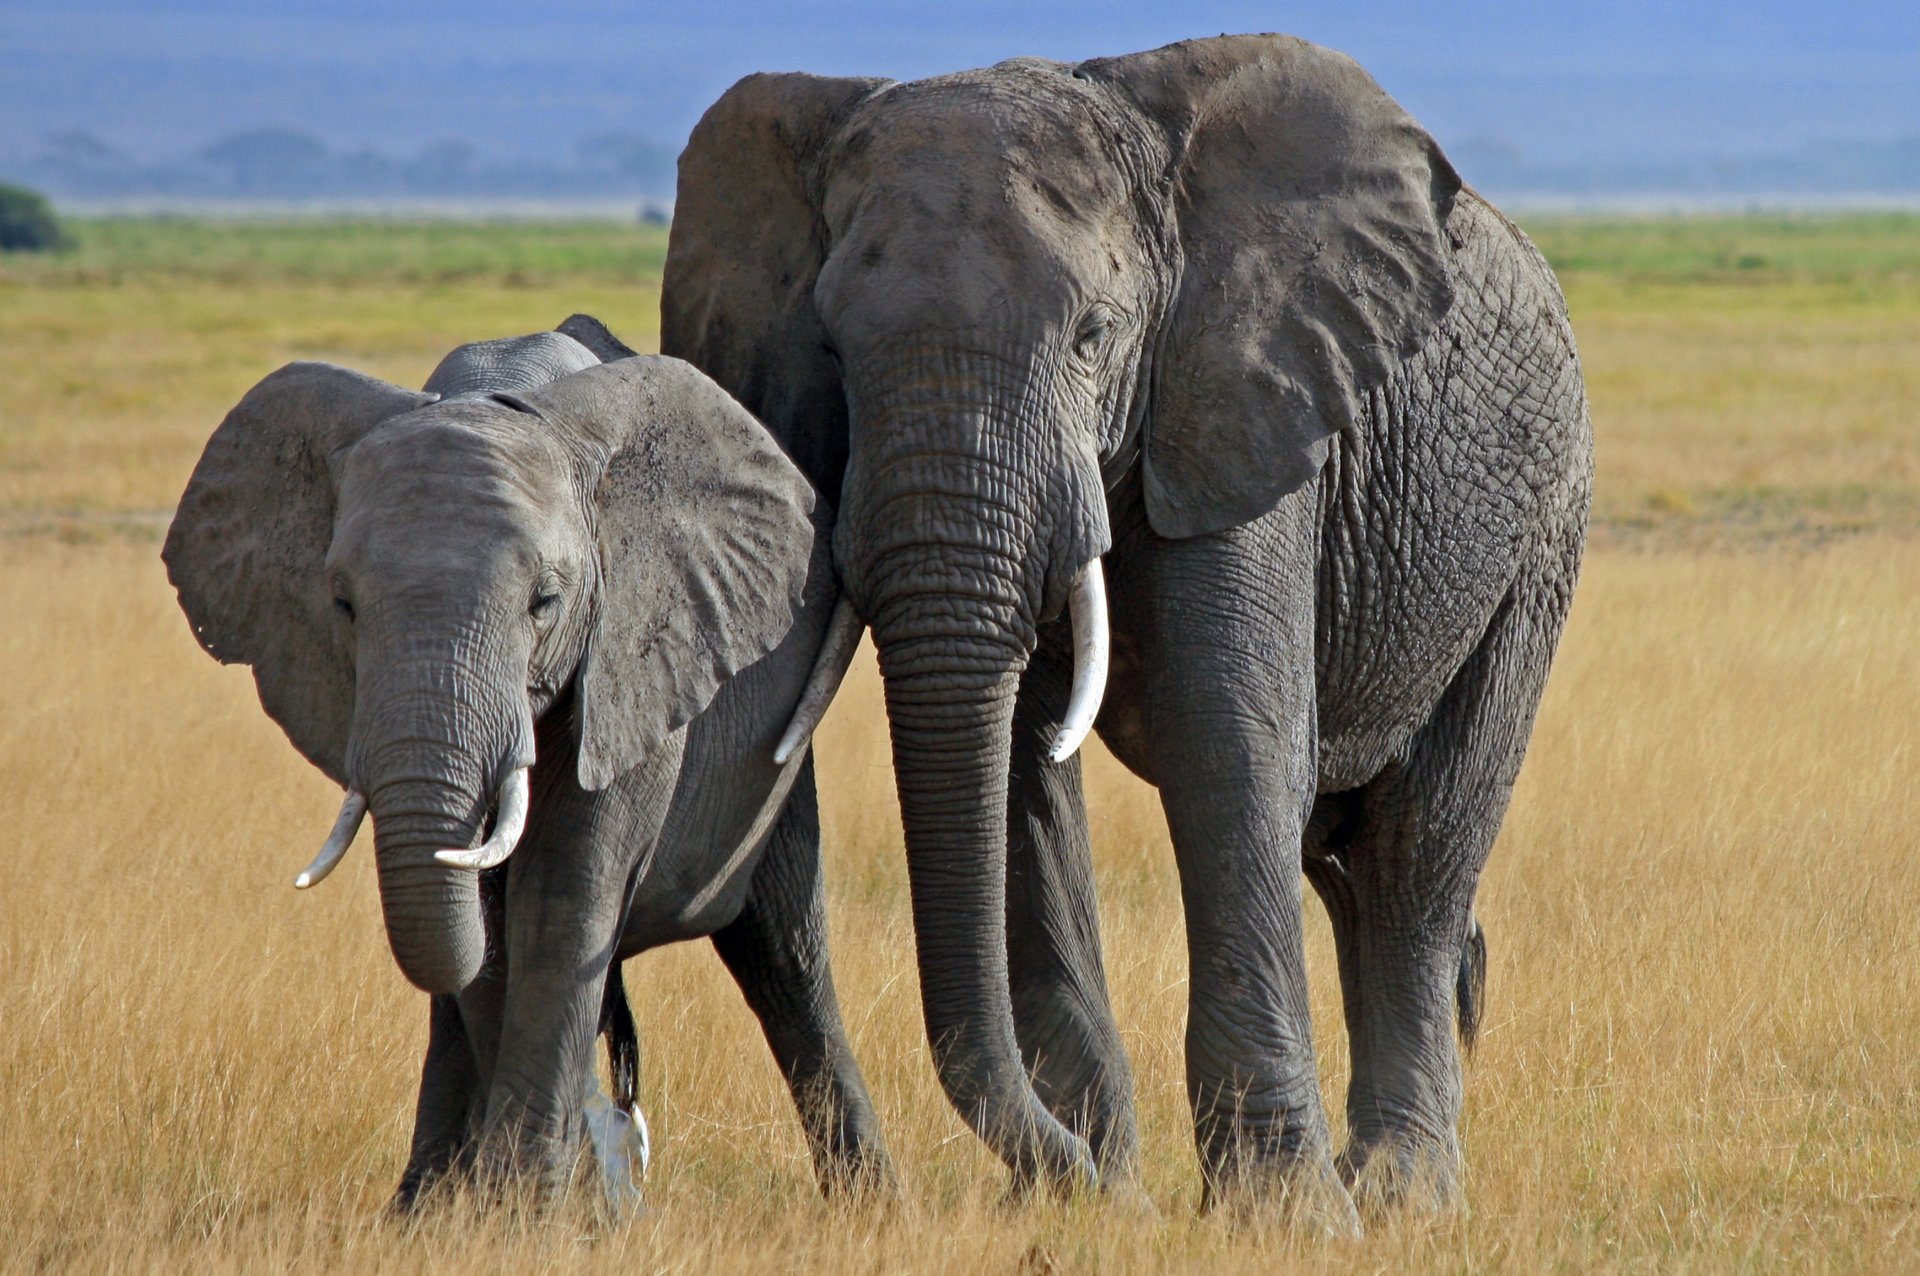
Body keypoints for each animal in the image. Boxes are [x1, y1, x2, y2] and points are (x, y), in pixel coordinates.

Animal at [162, 316, 893, 1206]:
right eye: (343, 604)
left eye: (546, 602)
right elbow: (485, 928)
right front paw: (512, 1207)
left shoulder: (637, 645)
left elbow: (562, 897)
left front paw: (532, 1212)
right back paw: (424, 1206)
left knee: (781, 950)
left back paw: (871, 1206)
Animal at [660, 33, 1592, 1220]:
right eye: (827, 348)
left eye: (1094, 337)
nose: (1073, 1170)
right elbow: (1018, 771)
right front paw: (1093, 1202)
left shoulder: (1238, 398)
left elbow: (1228, 745)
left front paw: (1284, 1219)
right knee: (1345, 860)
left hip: (1542, 529)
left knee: (1419, 849)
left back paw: (1398, 1198)